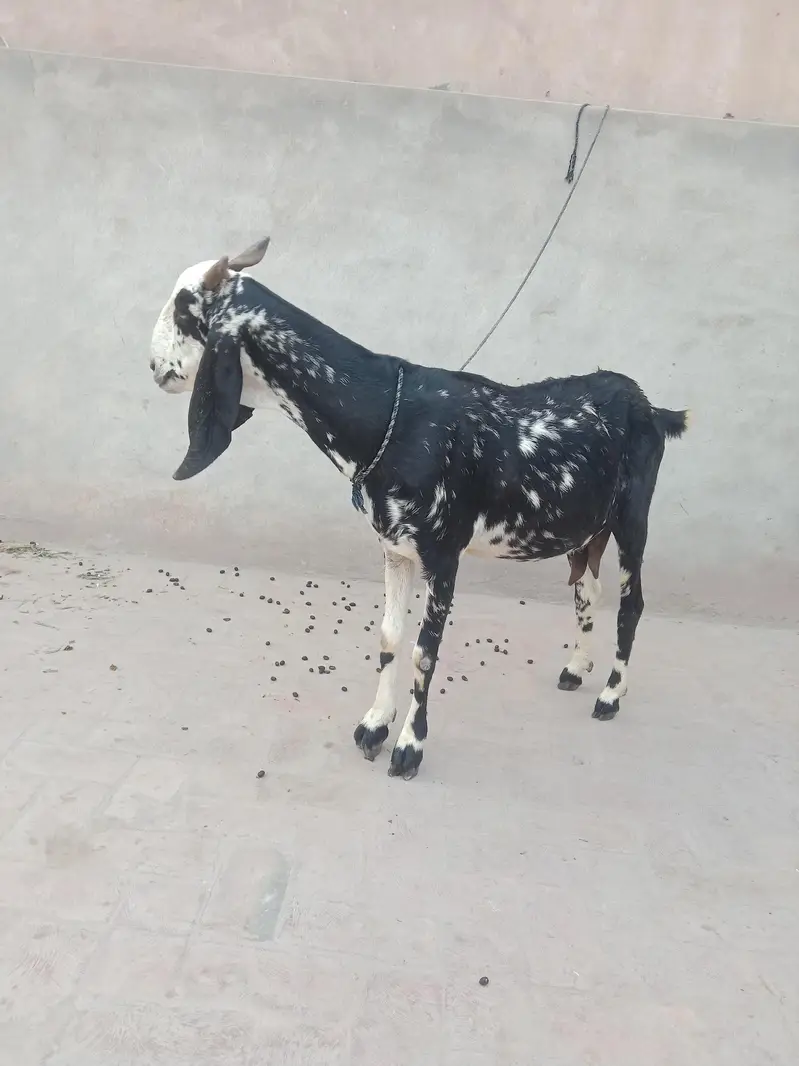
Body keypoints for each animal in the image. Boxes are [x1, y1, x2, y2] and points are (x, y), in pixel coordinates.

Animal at [150, 237, 689, 780]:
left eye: (184, 309)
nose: (153, 367)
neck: (391, 420)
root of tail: (652, 408)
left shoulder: (443, 553)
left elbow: (424, 653)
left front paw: (410, 745)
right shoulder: (395, 548)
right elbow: (390, 637)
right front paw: (374, 726)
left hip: (632, 519)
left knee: (632, 603)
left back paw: (610, 695)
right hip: (586, 531)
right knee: (586, 590)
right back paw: (577, 669)